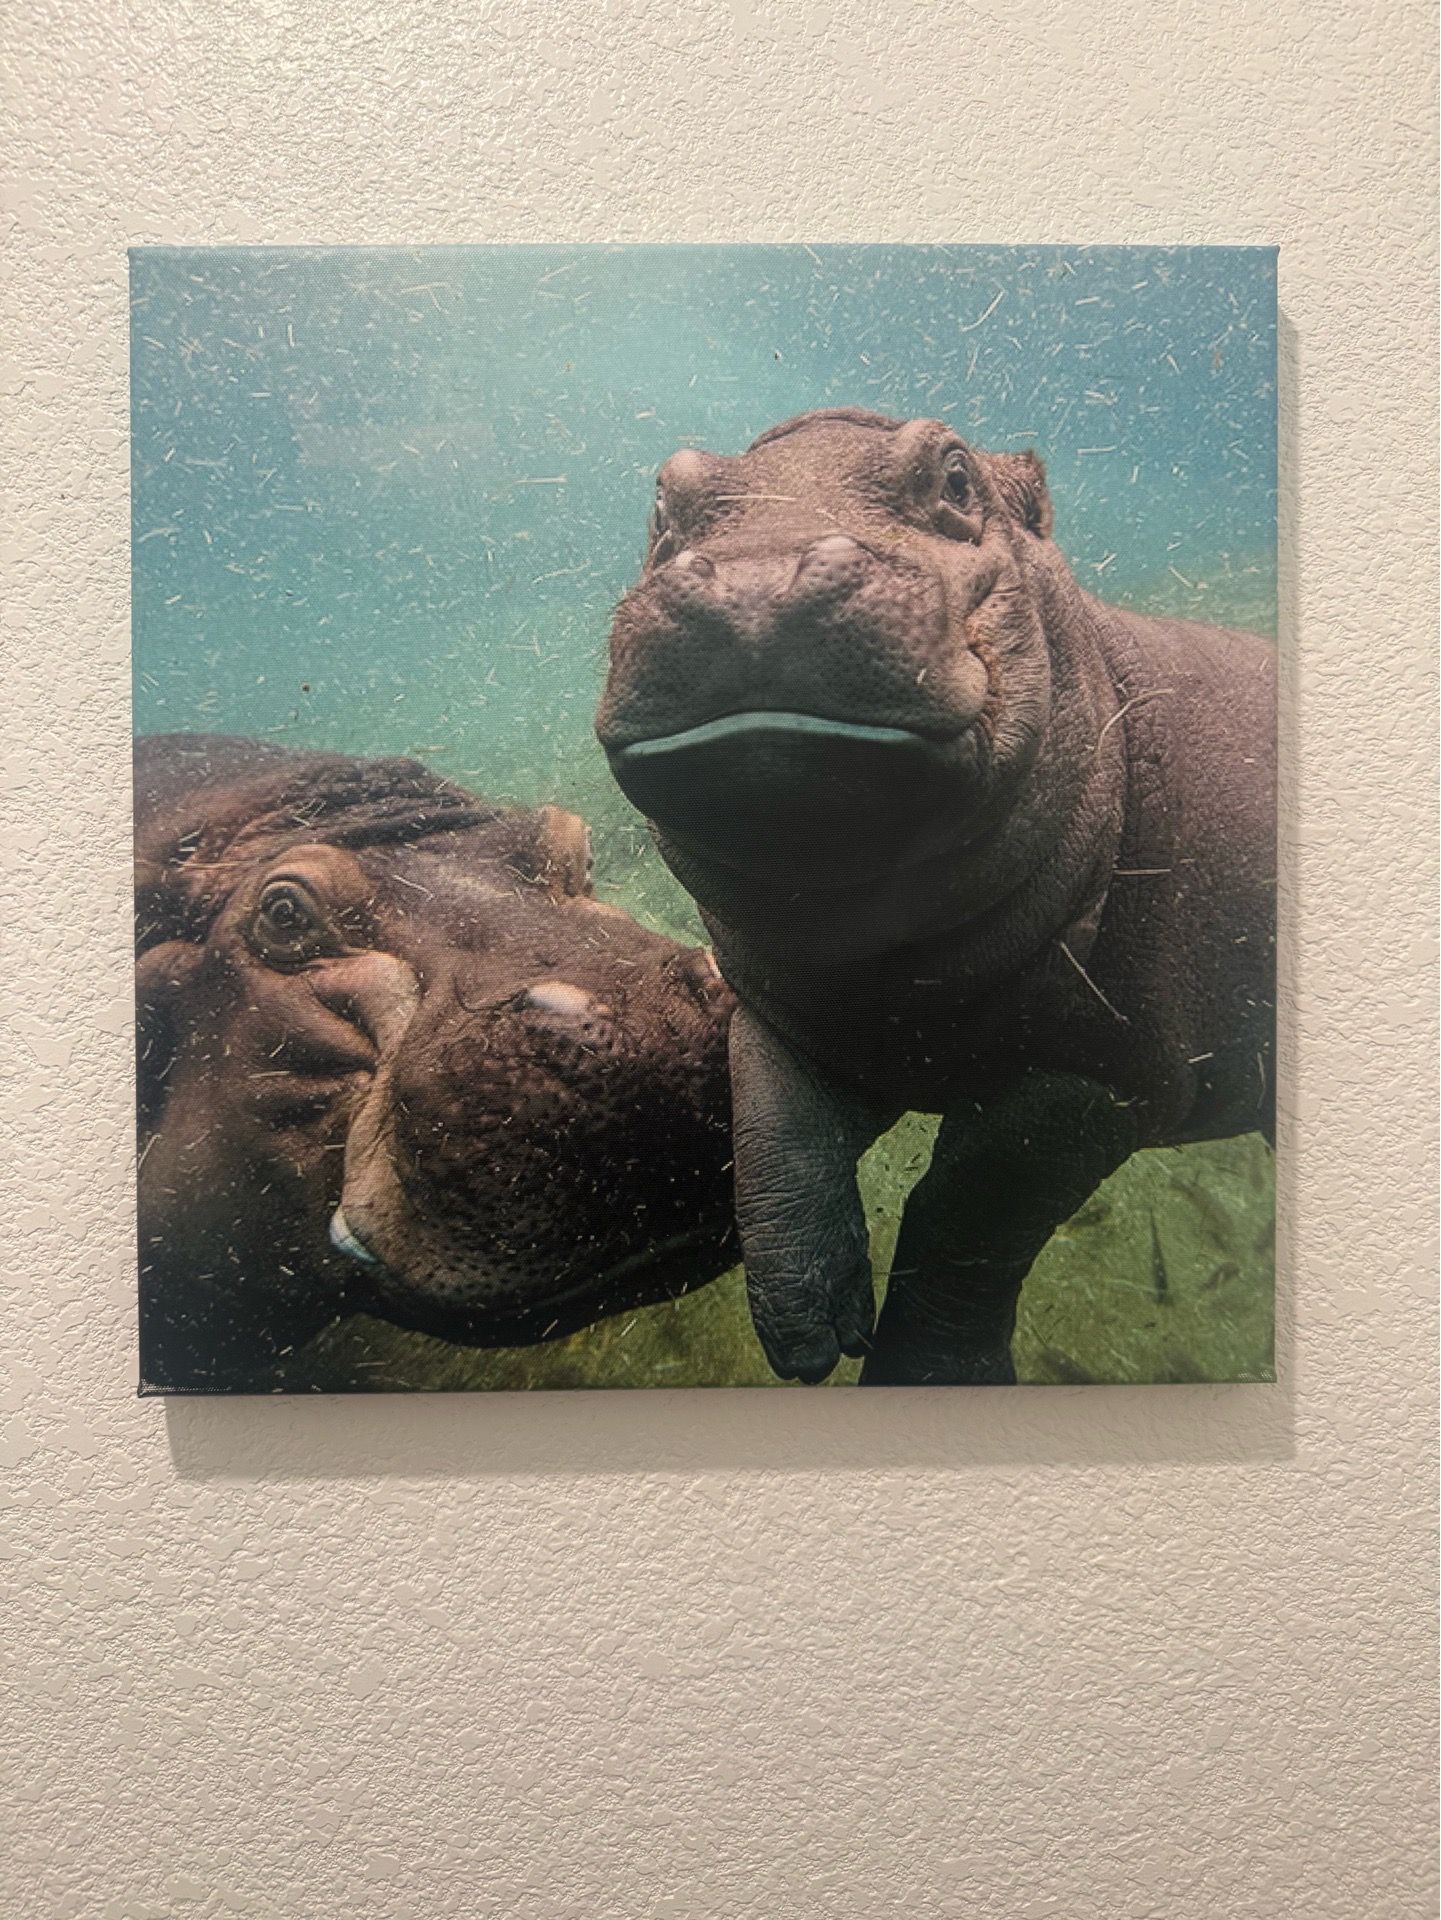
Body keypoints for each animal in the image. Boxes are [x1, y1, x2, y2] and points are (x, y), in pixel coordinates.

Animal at [596, 407, 1276, 1386]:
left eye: (956, 477)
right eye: (662, 497)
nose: (758, 574)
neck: (885, 957)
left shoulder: (1109, 1076)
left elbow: (970, 1210)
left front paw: (920, 1371)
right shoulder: (788, 1014)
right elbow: (771, 1131)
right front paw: (810, 1332)